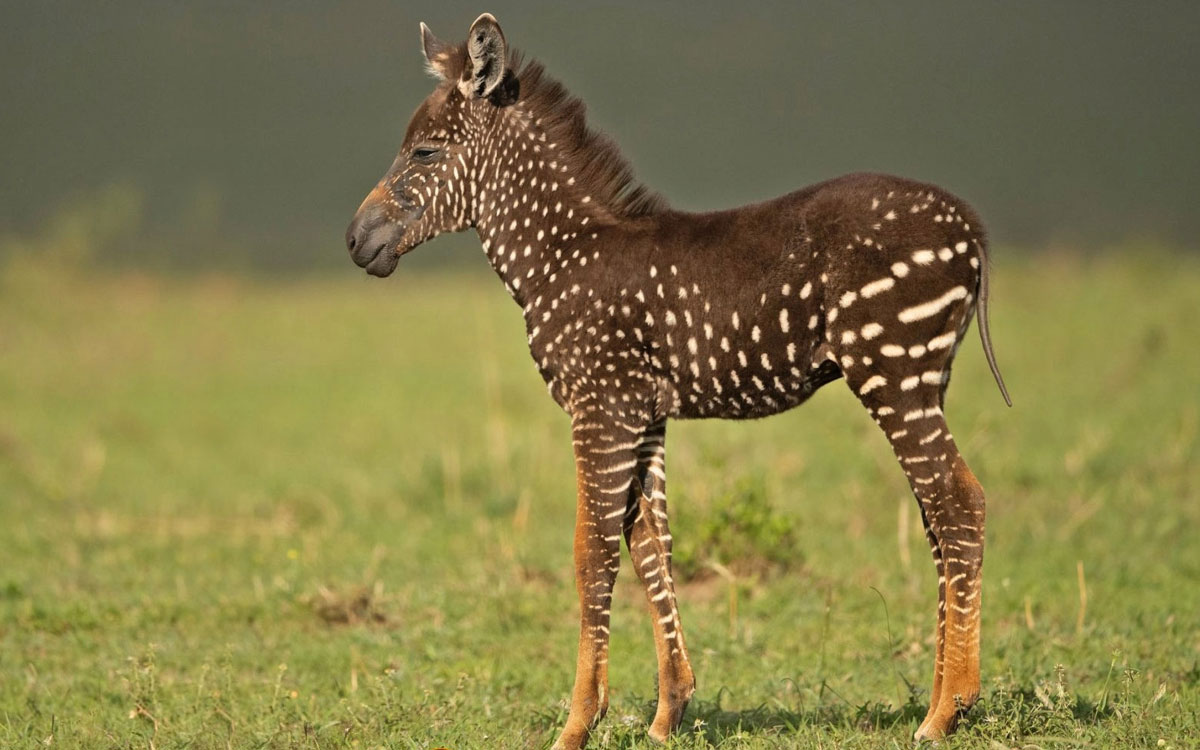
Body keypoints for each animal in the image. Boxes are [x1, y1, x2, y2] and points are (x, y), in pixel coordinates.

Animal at [348, 13, 1012, 748]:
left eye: (424, 153)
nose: (355, 240)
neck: (561, 255)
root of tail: (969, 226)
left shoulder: (600, 408)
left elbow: (592, 554)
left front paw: (577, 723)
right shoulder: (643, 414)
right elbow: (651, 547)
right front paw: (669, 712)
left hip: (893, 370)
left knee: (959, 503)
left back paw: (946, 711)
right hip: (923, 379)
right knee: (937, 517)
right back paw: (943, 699)